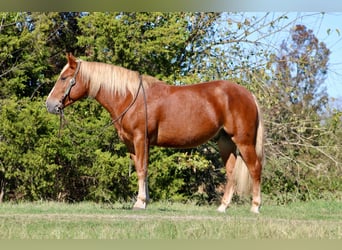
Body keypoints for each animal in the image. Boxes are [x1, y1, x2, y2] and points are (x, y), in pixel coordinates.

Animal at [46, 52, 264, 213]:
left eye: (64, 78)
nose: (49, 105)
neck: (129, 97)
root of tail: (248, 94)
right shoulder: (132, 143)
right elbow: (141, 168)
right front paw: (145, 200)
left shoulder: (140, 139)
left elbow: (142, 169)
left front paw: (140, 202)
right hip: (225, 142)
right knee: (231, 172)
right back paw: (222, 207)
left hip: (243, 142)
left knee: (255, 168)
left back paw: (255, 207)